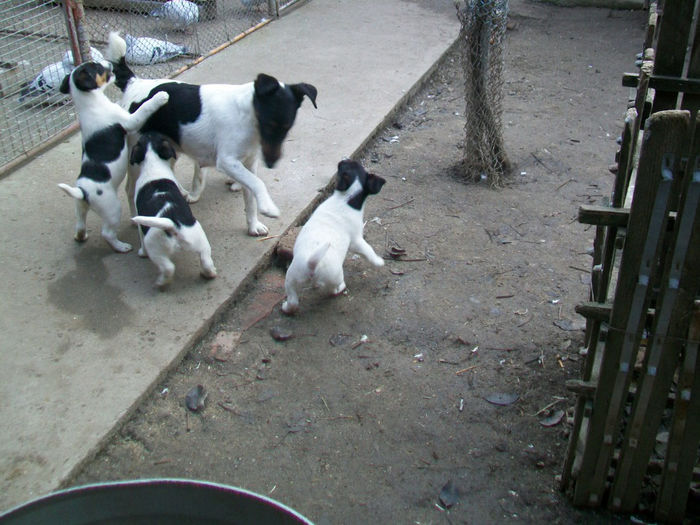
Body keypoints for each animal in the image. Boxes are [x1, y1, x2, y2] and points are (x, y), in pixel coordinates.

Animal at [57, 59, 170, 252]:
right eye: (97, 67)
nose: (109, 63)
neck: (89, 103)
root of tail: (83, 192)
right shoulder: (130, 121)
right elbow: (144, 108)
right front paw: (160, 96)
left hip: (79, 206)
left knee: (80, 223)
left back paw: (81, 236)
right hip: (112, 209)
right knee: (107, 233)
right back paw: (121, 247)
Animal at [104, 31, 318, 236]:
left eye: (288, 128)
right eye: (269, 124)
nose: (272, 164)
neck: (248, 115)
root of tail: (134, 83)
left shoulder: (249, 161)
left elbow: (250, 198)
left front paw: (253, 225)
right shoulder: (227, 161)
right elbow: (257, 183)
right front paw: (267, 206)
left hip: (168, 147)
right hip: (136, 155)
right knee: (129, 190)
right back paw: (137, 218)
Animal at [129, 129, 216, 288]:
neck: (154, 162)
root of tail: (172, 225)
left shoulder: (141, 226)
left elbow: (140, 238)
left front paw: (141, 253)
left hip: (155, 247)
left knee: (168, 268)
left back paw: (162, 282)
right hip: (201, 240)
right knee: (206, 260)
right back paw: (210, 273)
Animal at [280, 160, 388, 314]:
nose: (342, 159)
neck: (347, 197)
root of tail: (311, 265)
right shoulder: (356, 240)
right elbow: (368, 251)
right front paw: (378, 261)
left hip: (291, 278)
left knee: (293, 301)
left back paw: (286, 308)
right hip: (334, 277)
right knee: (333, 290)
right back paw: (341, 287)